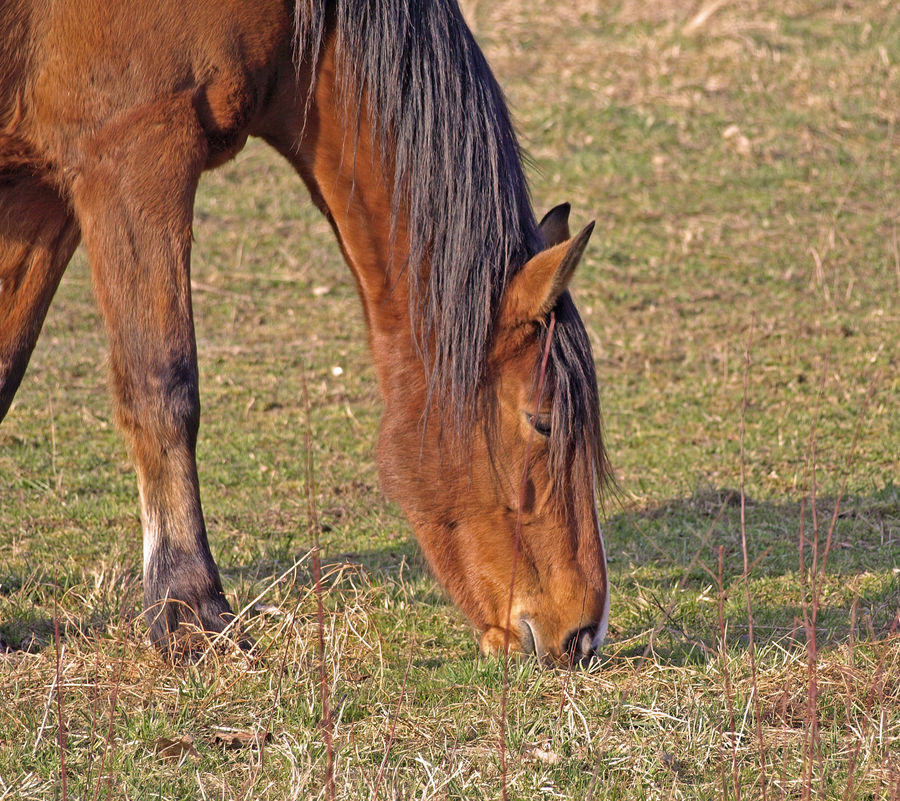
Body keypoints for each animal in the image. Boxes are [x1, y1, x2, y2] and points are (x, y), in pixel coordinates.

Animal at [0, 0, 612, 664]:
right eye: (542, 420)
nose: (584, 635)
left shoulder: (44, 187)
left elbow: (6, 368)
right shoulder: (134, 152)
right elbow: (163, 388)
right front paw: (191, 610)